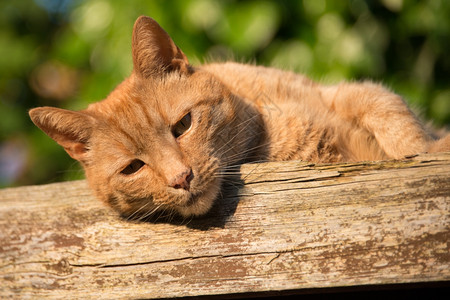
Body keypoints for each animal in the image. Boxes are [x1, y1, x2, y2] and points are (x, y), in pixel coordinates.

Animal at [29, 15, 450, 218]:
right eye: (132, 168)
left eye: (183, 125)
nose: (180, 179)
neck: (269, 132)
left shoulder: (341, 93)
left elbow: (389, 110)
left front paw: (426, 148)